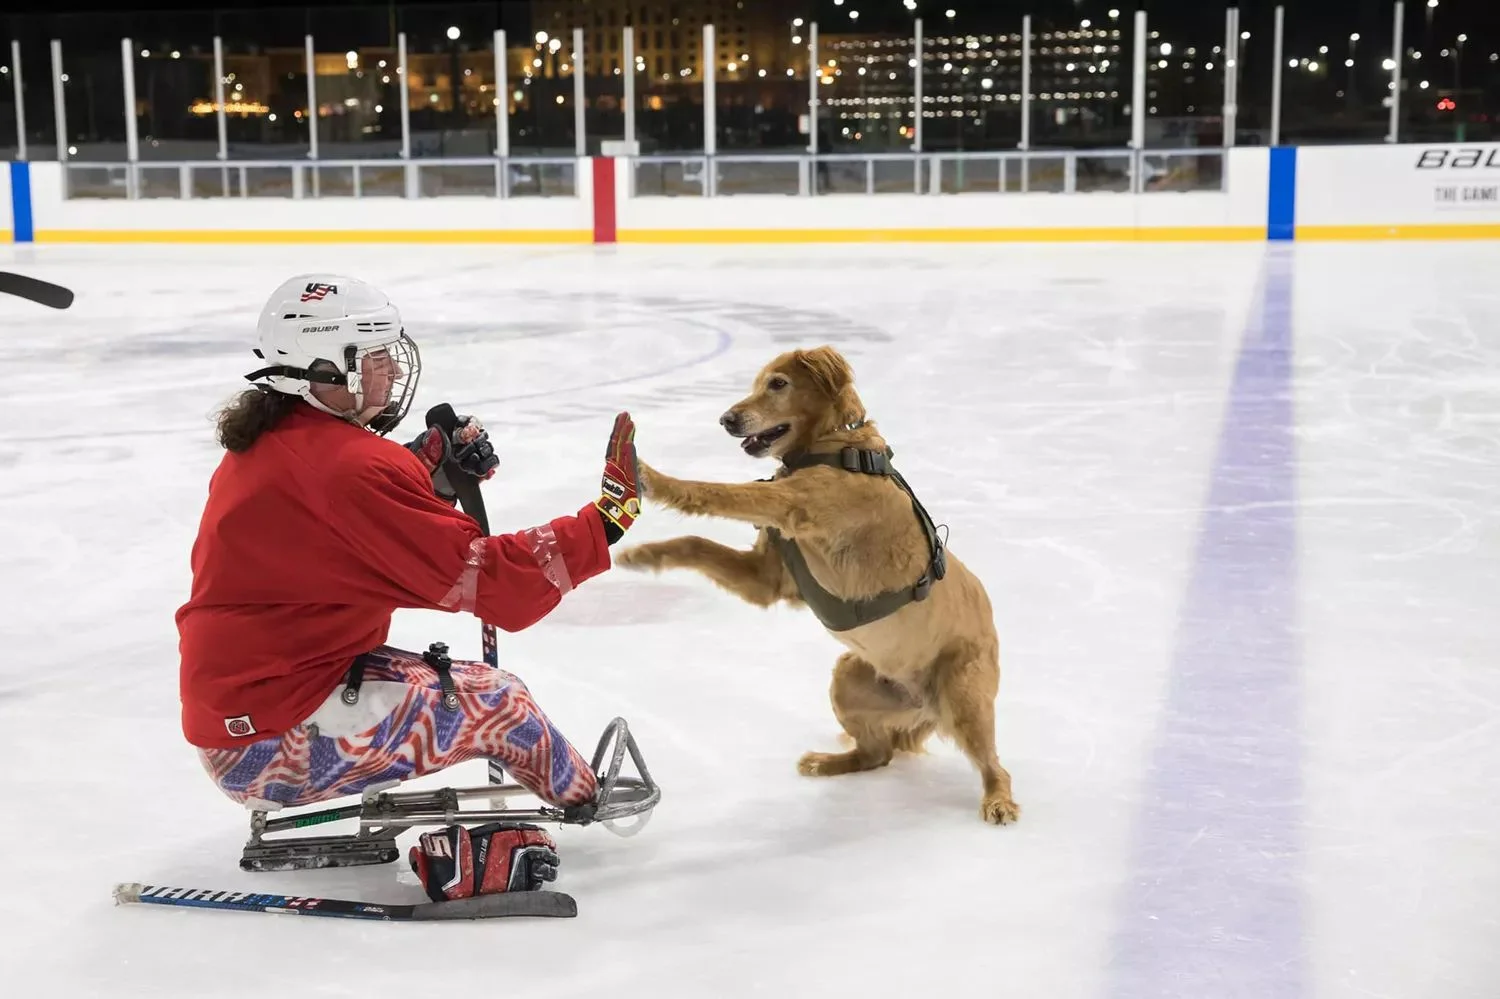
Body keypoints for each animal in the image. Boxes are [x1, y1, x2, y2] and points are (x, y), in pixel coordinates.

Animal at [612, 346, 1020, 822]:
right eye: (757, 383)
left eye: (778, 384)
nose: (727, 419)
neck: (833, 445)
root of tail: (926, 703)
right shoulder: (766, 579)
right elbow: (695, 543)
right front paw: (644, 555)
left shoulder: (790, 504)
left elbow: (715, 491)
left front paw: (649, 476)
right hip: (848, 678)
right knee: (877, 753)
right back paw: (828, 763)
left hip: (965, 699)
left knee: (993, 763)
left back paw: (998, 801)